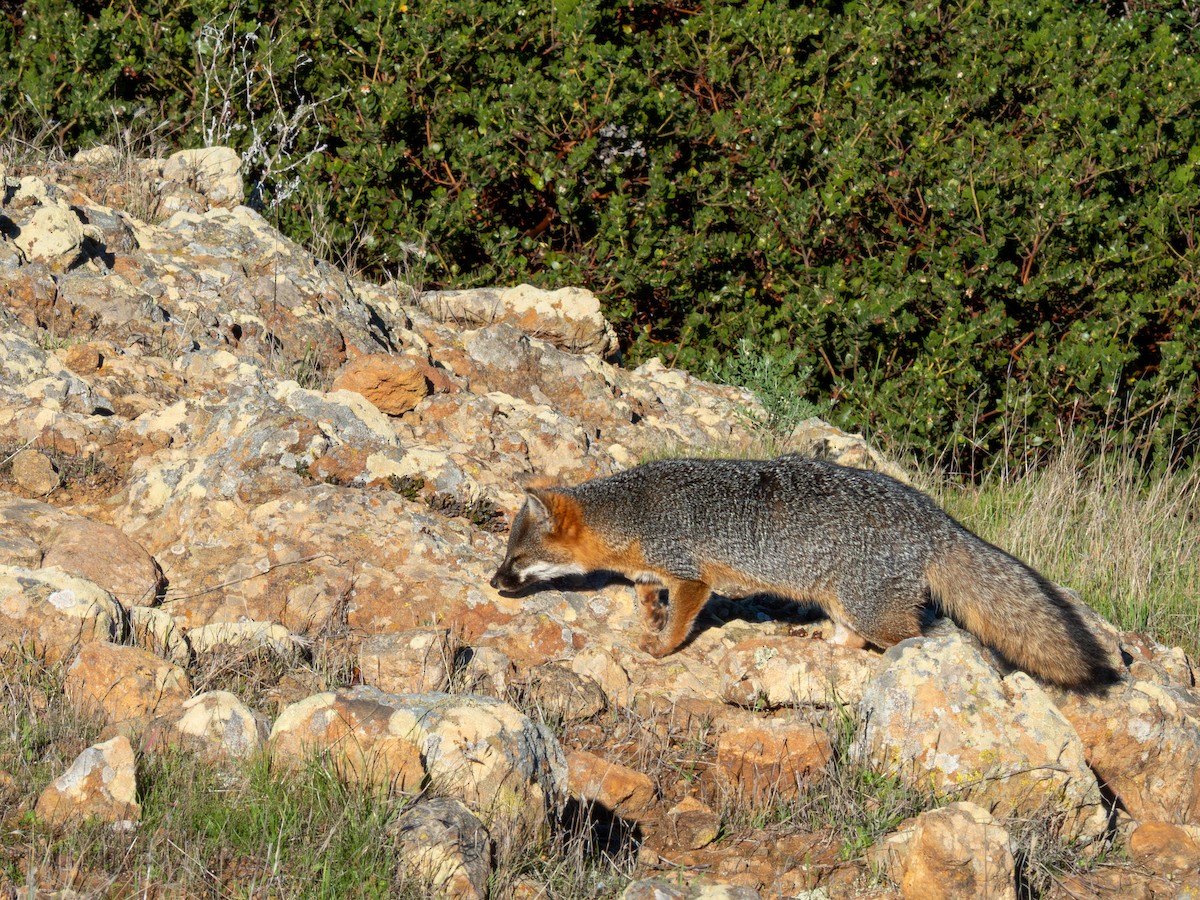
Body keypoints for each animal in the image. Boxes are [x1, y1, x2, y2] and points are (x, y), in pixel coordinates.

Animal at [489, 455, 1121, 690]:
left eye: (516, 561)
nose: (493, 583)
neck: (634, 513)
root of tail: (938, 518)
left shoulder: (694, 578)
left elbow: (680, 620)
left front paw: (662, 648)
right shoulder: (655, 573)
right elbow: (646, 598)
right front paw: (647, 625)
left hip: (874, 610)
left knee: (916, 637)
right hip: (844, 603)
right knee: (850, 636)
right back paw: (820, 640)